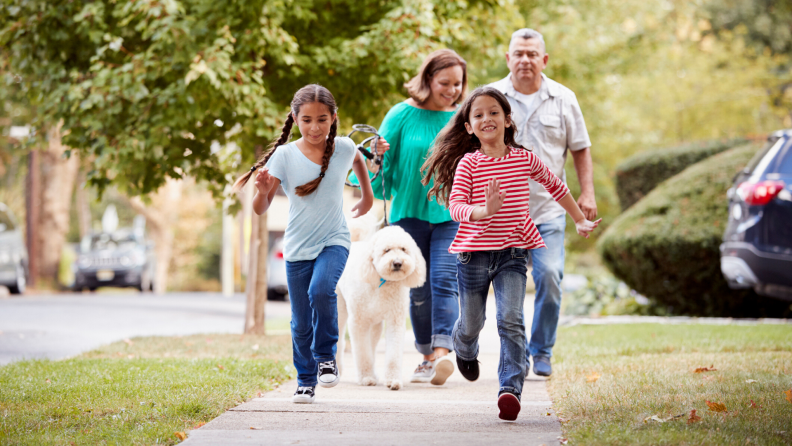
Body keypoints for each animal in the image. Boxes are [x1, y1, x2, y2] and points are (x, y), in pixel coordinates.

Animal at [336, 223, 426, 390]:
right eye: (387, 250)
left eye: (404, 249)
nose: (397, 263)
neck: (382, 281)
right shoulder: (358, 322)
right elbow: (362, 353)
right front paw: (366, 378)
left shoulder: (395, 321)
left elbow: (393, 354)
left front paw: (393, 380)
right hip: (339, 308)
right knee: (338, 340)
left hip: (375, 324)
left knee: (372, 344)